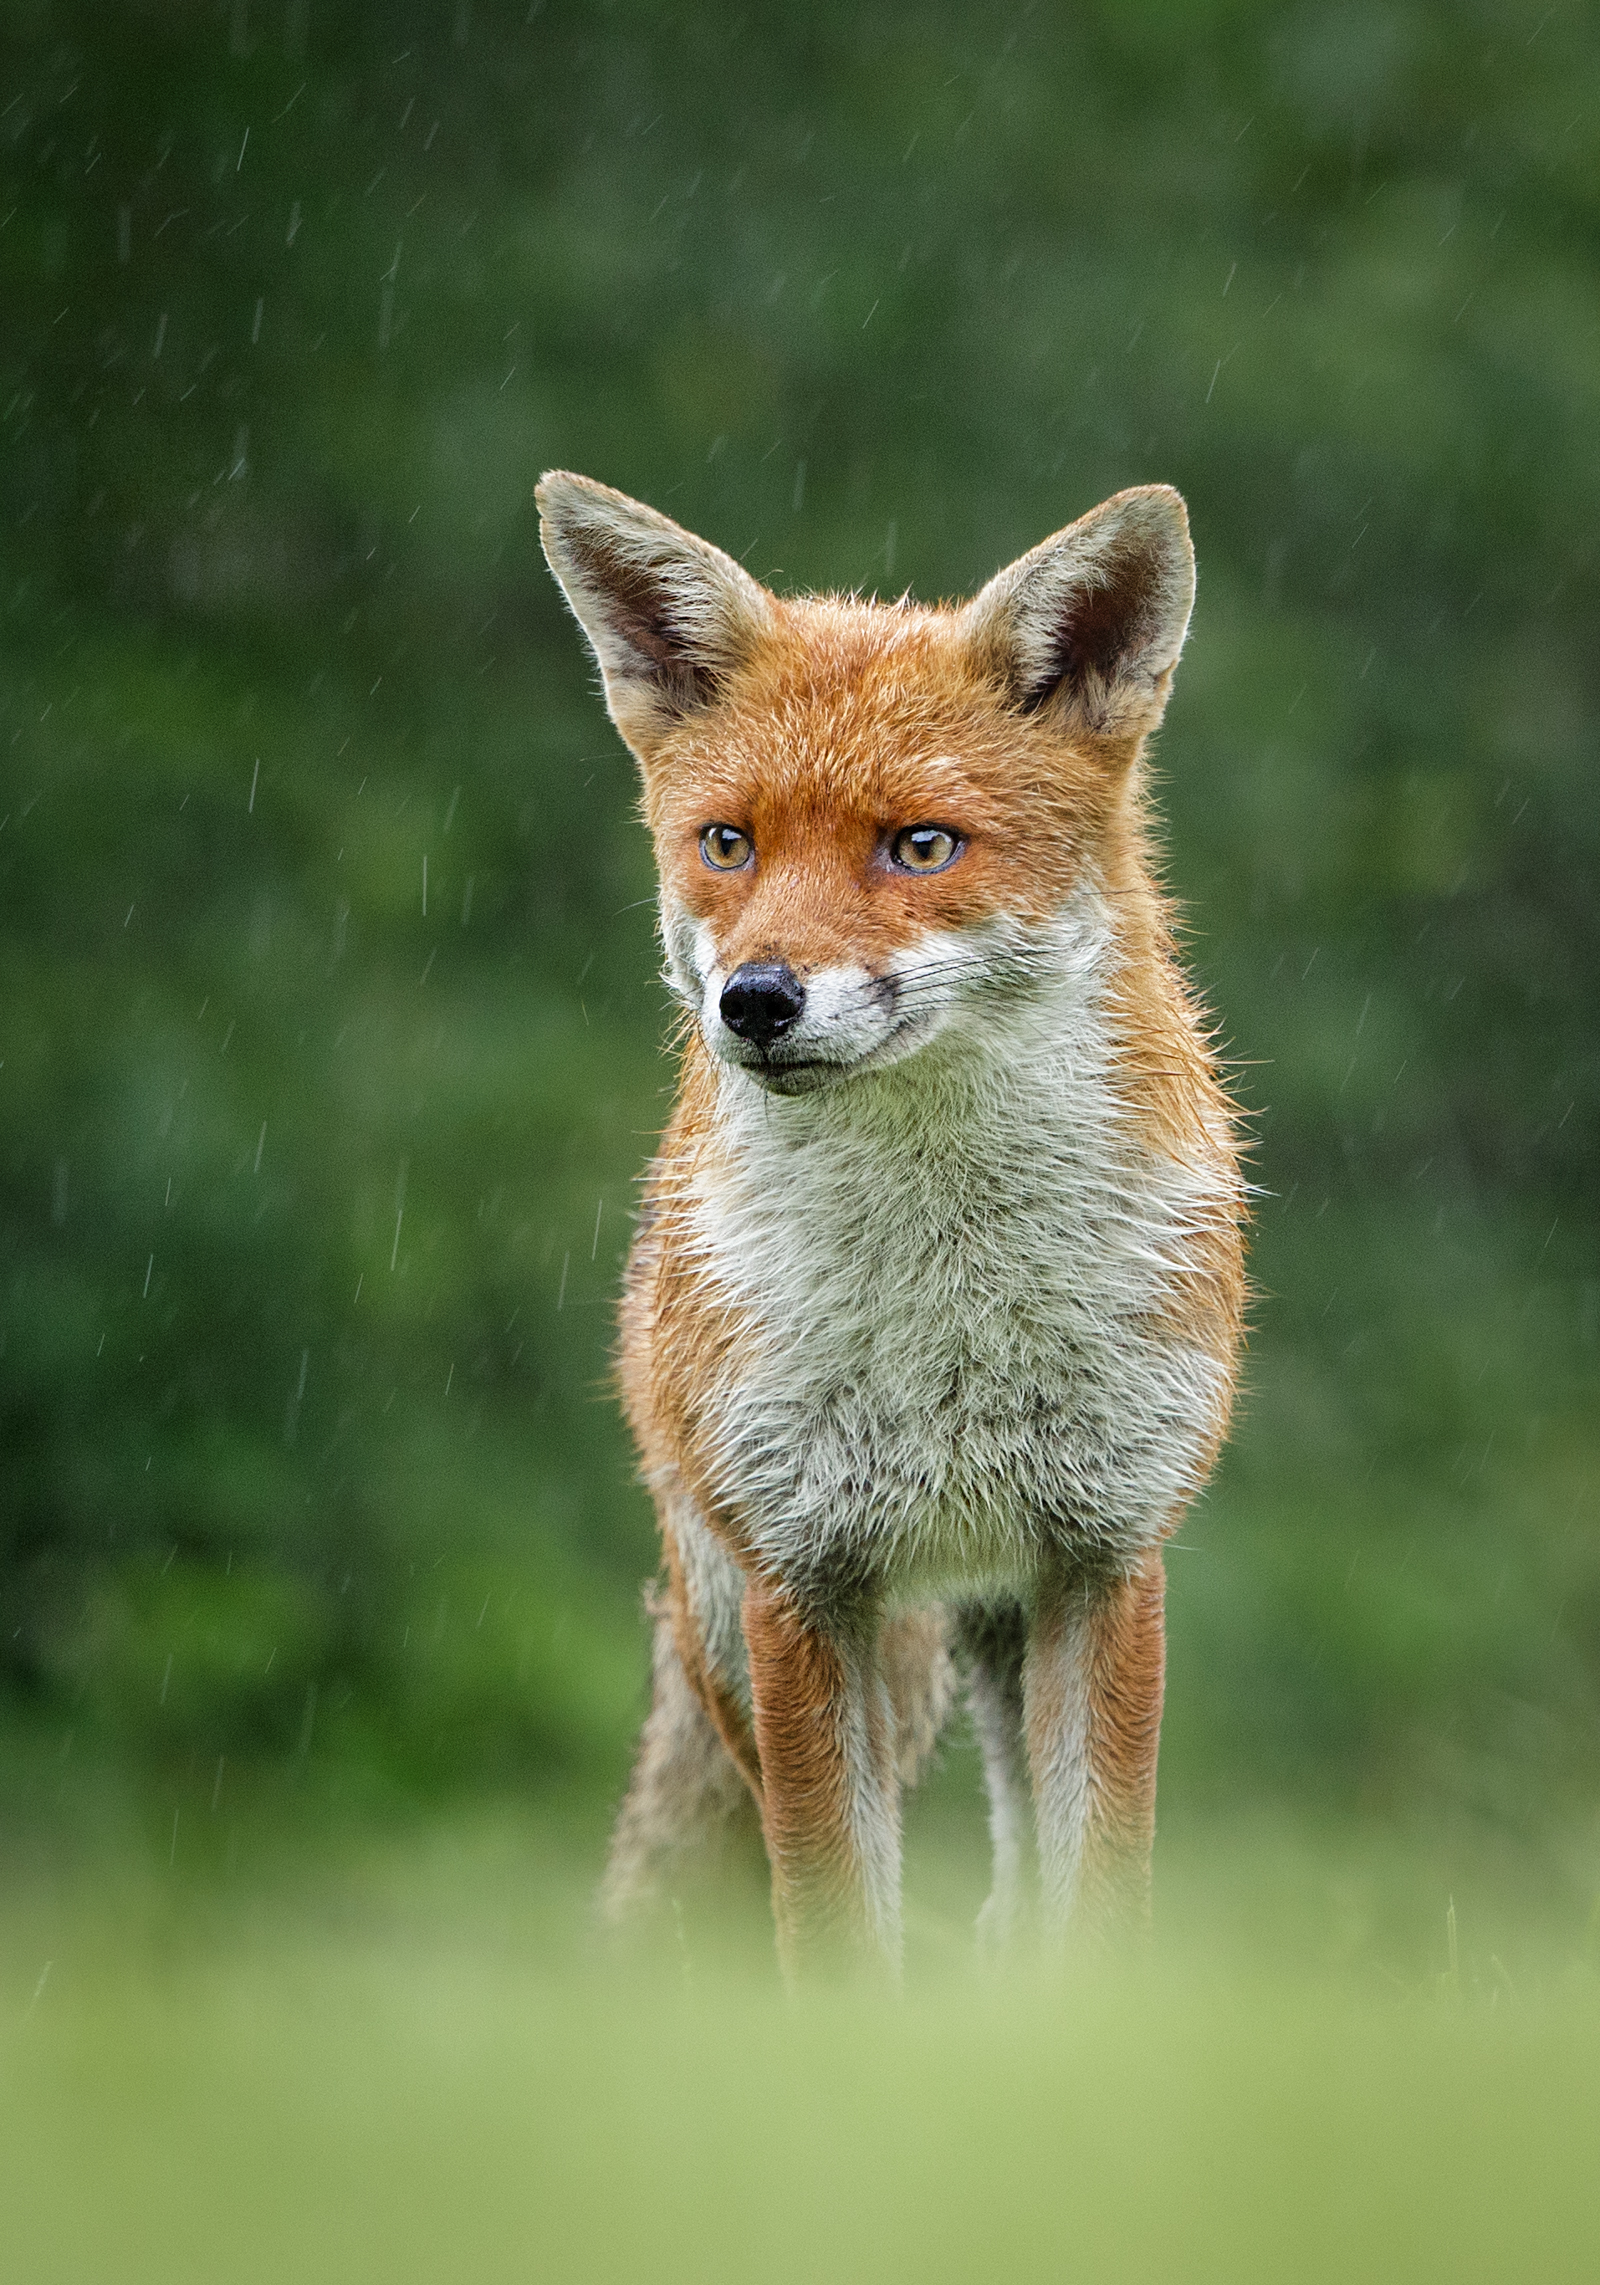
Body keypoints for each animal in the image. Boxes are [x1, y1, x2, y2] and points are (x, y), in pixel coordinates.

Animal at [537, 468, 1252, 1983]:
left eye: (919, 845)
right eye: (729, 843)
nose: (754, 999)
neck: (949, 1300)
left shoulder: (1107, 1556)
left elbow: (1102, 1910)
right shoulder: (802, 1579)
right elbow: (834, 1934)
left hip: (994, 1625)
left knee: (1014, 1889)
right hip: (730, 1626)